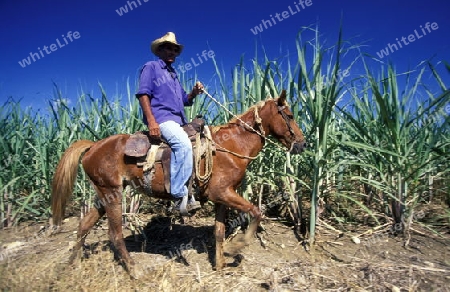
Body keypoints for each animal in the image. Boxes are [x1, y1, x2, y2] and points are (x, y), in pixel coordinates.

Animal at [51, 89, 308, 276]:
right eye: (290, 115)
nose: (303, 144)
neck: (231, 146)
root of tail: (93, 145)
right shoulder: (223, 193)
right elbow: (256, 211)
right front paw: (238, 246)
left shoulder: (223, 197)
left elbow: (219, 231)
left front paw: (220, 264)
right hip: (112, 194)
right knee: (114, 235)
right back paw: (134, 272)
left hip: (105, 194)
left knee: (84, 225)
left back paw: (72, 264)